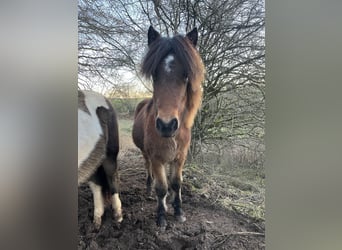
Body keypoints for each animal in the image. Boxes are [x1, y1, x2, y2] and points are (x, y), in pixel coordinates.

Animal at [132, 26, 204, 229]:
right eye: (154, 74)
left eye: (186, 75)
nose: (166, 125)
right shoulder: (157, 158)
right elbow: (161, 187)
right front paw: (161, 216)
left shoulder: (180, 158)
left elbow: (176, 183)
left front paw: (178, 210)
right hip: (146, 154)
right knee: (149, 169)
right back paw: (150, 190)